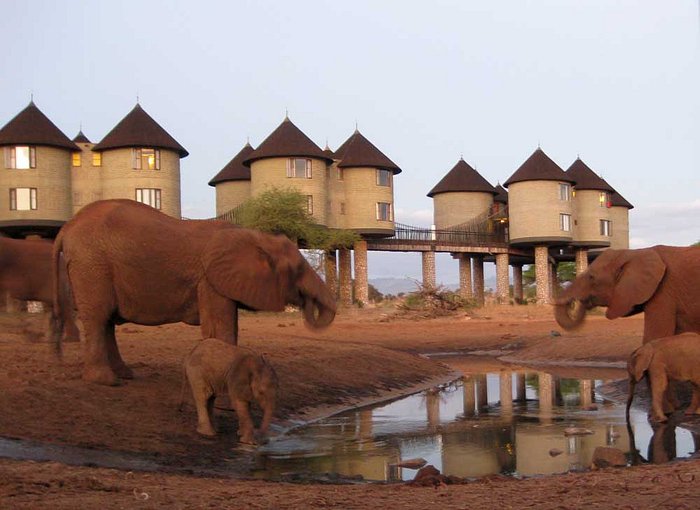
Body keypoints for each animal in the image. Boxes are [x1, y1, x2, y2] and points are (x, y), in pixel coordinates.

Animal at [50, 199, 336, 386]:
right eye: (298, 268)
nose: (306, 302)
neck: (256, 237)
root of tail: (66, 228)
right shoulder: (208, 279)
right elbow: (220, 330)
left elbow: (229, 327)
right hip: (91, 263)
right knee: (98, 316)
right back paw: (105, 381)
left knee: (107, 319)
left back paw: (125, 375)